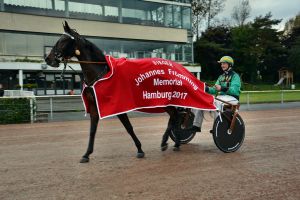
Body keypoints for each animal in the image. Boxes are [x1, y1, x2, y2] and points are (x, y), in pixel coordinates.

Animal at [44, 21, 180, 162]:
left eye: (63, 41)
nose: (48, 58)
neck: (101, 74)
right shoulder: (94, 106)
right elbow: (92, 130)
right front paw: (86, 154)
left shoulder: (118, 105)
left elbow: (128, 127)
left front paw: (140, 149)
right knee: (175, 116)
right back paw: (174, 142)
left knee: (175, 116)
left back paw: (167, 142)